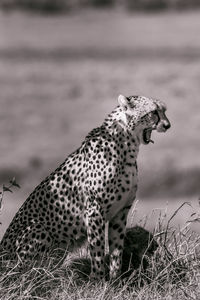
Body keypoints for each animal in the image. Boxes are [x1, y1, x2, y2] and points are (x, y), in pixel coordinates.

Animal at [0, 95, 171, 280]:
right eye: (153, 112)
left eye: (163, 111)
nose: (167, 125)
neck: (127, 145)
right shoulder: (94, 211)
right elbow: (97, 249)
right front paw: (98, 280)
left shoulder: (120, 212)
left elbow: (116, 250)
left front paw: (115, 280)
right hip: (39, 229)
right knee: (27, 273)